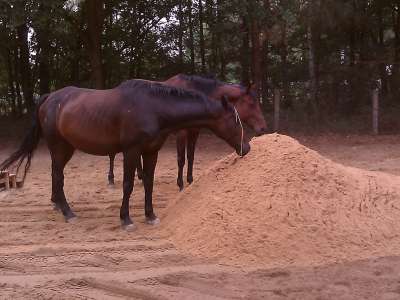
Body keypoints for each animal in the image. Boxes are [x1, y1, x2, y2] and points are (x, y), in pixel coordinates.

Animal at [0, 79, 250, 230]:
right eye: (234, 120)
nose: (246, 147)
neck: (154, 108)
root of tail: (50, 98)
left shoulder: (151, 151)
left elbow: (148, 183)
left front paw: (150, 216)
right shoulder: (132, 151)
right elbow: (128, 184)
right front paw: (126, 219)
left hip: (66, 148)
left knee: (56, 175)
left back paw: (57, 205)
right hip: (59, 146)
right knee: (57, 176)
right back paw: (68, 212)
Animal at [108, 74, 268, 190]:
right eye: (251, 103)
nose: (263, 128)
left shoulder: (194, 132)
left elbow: (191, 156)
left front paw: (190, 181)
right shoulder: (181, 133)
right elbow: (181, 159)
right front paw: (180, 184)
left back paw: (140, 176)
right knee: (112, 155)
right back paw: (111, 179)